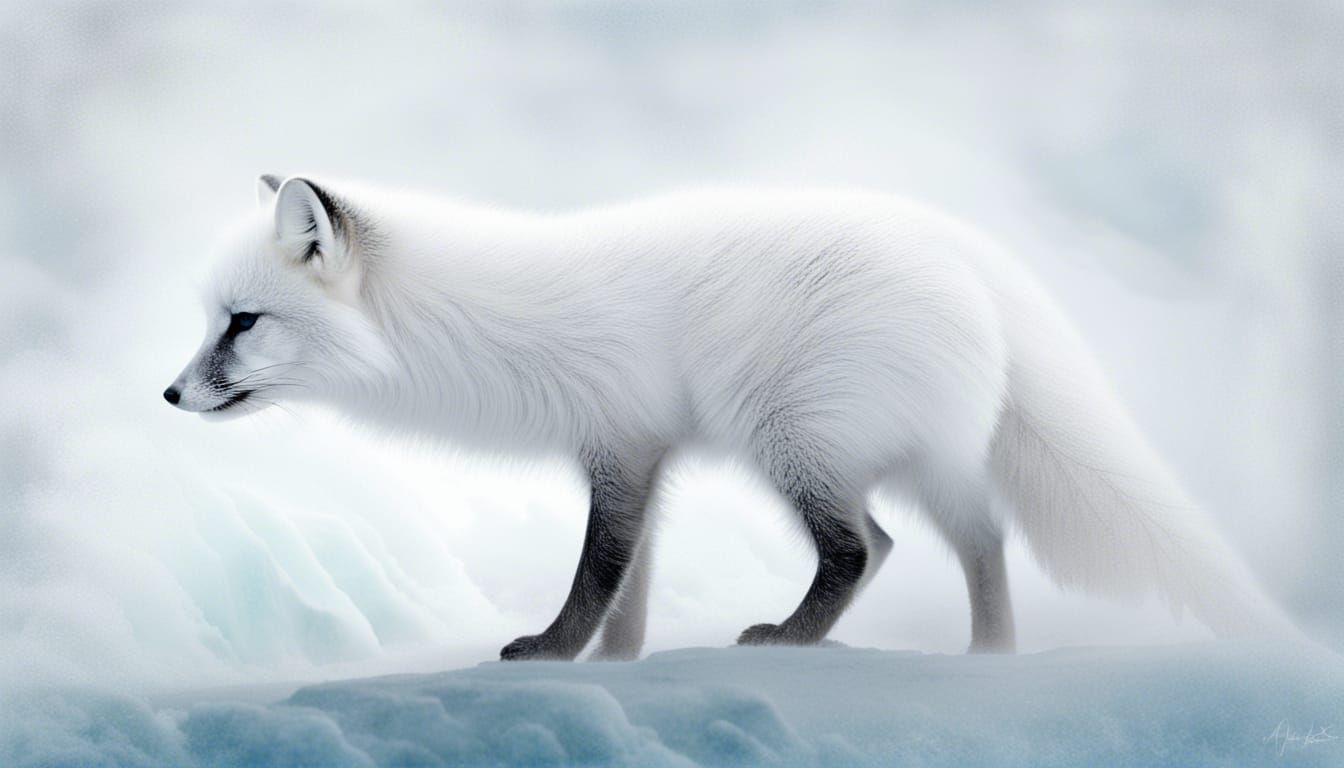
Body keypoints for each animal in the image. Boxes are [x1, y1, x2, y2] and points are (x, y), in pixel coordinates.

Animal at [165, 174, 1294, 661]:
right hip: (917, 458)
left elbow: (597, 573)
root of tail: (958, 245)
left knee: (868, 549)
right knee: (980, 540)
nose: (169, 396)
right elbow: (630, 587)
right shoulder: (641, 458)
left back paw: (791, 641)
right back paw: (991, 660)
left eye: (242, 323)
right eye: (212, 319)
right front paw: (613, 667)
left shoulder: (622, 448)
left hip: (792, 442)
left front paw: (551, 654)